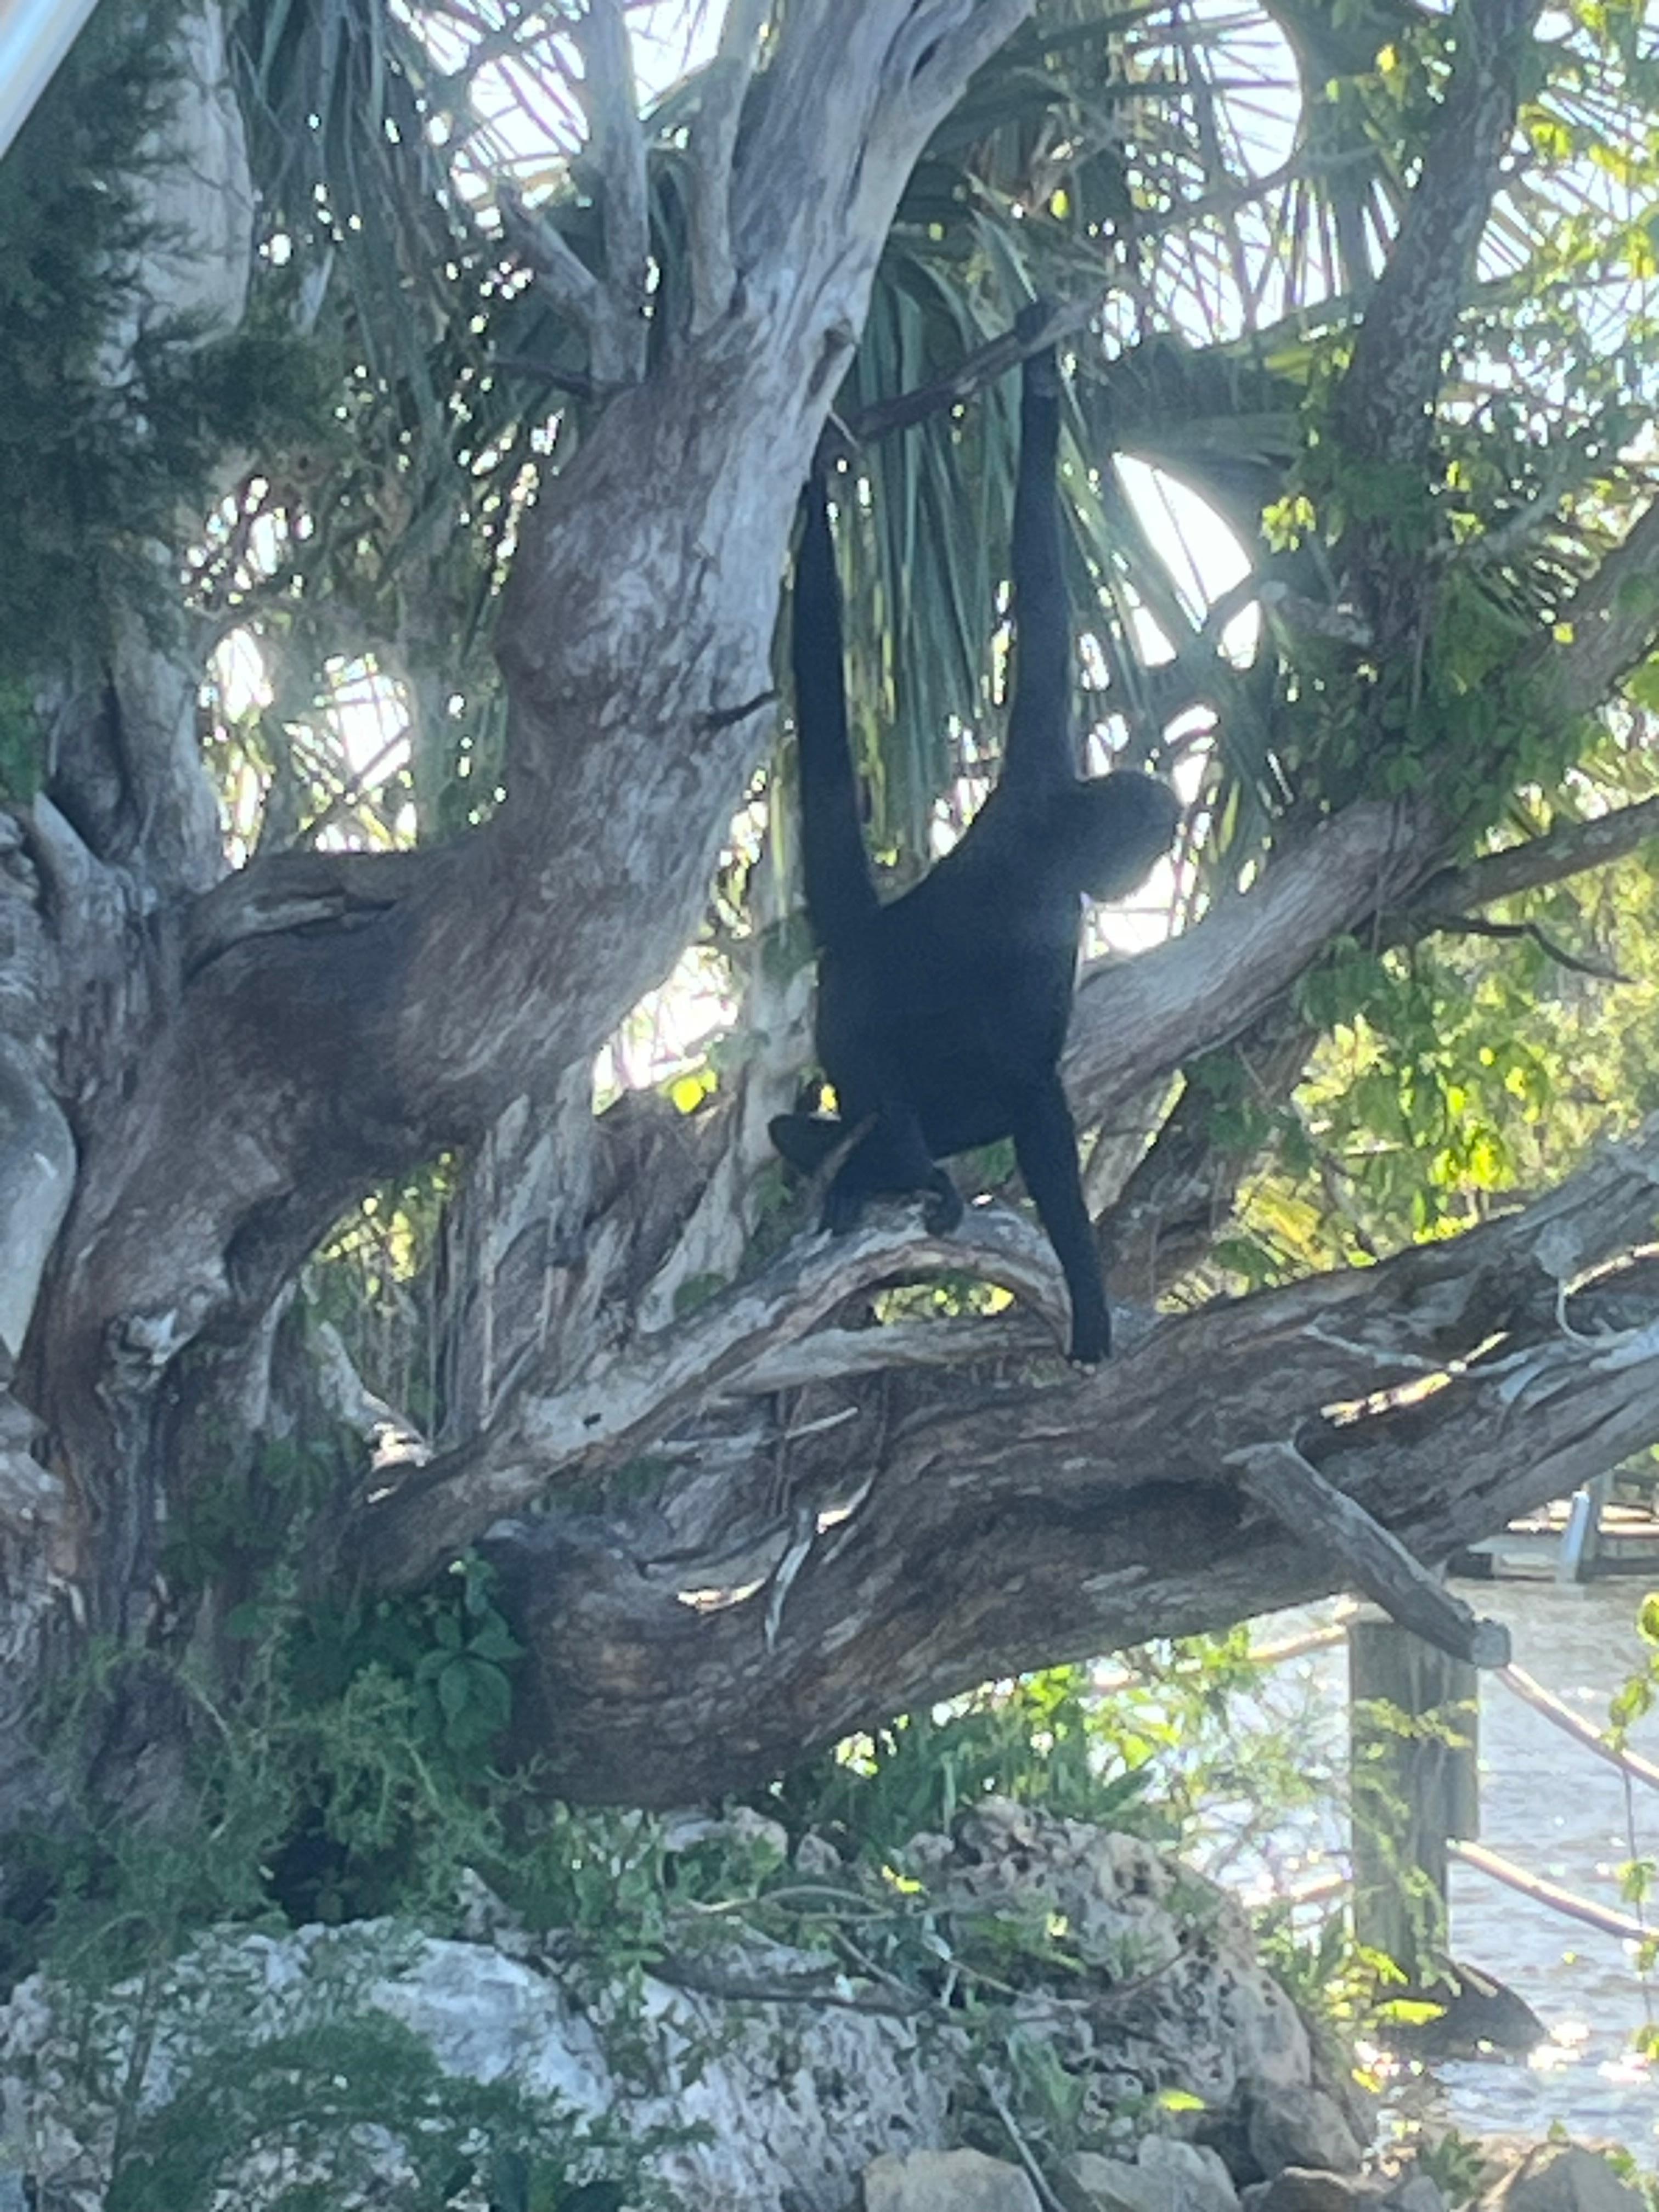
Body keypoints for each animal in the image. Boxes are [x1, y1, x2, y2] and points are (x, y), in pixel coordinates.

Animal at [769, 339, 1180, 1364]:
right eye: (1146, 853)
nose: (1146, 874)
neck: (1053, 827)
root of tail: (863, 938)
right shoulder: (1051, 916)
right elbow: (1035, 1090)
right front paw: (1087, 1302)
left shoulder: (1034, 757)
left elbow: (1039, 583)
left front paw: (1036, 378)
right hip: (848, 1024)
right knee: (939, 1100)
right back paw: (879, 1166)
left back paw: (803, 1139)